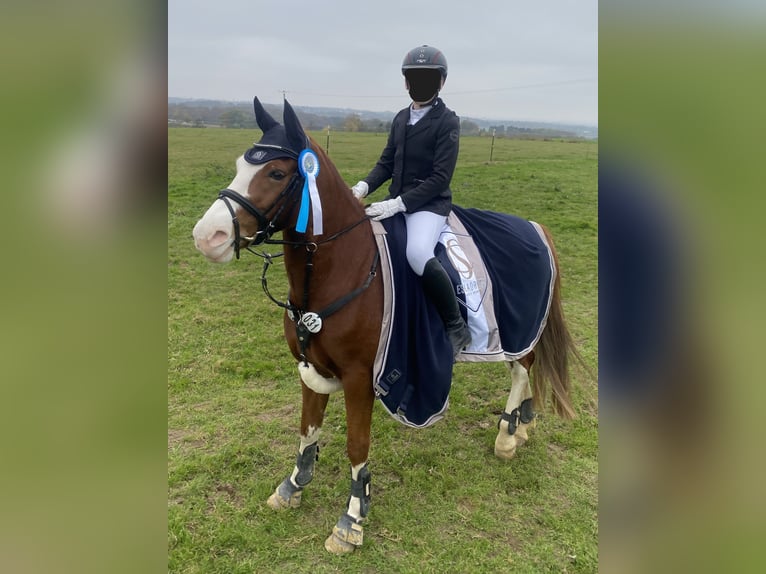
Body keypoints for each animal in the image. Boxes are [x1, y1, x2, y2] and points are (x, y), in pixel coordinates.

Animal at [194, 97, 584, 556]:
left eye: (275, 172)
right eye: (241, 164)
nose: (207, 236)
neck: (341, 268)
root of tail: (535, 227)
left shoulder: (362, 376)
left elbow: (356, 446)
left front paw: (351, 520)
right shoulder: (310, 366)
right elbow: (307, 430)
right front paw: (292, 487)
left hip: (519, 328)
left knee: (523, 371)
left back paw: (507, 436)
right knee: (527, 370)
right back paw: (524, 425)